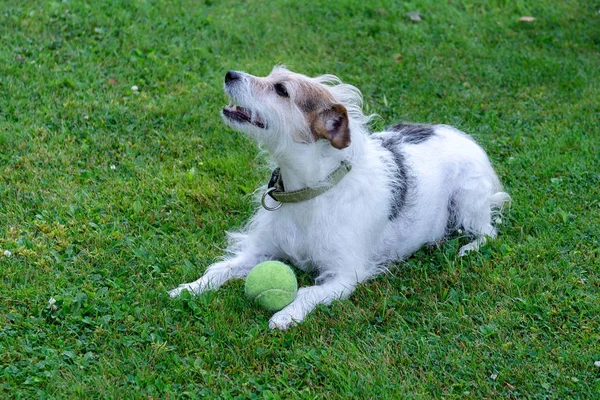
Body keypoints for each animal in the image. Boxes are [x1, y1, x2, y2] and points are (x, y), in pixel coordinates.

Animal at [168, 65, 506, 328]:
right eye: (271, 76)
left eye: (281, 90)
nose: (229, 74)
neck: (309, 192)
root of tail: (456, 133)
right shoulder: (261, 251)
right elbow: (220, 269)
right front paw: (189, 288)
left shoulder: (345, 276)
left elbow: (309, 293)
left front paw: (287, 314)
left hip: (467, 202)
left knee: (488, 231)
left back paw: (467, 247)